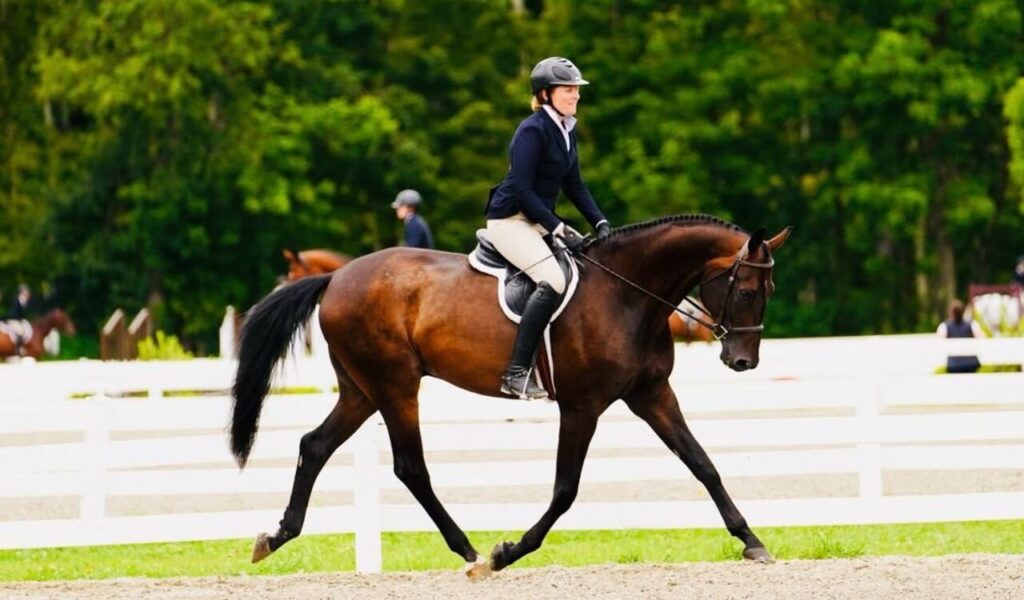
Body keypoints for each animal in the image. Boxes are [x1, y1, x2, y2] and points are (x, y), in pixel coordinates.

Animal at [232, 214, 790, 577]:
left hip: (360, 390)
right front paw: (508, 552)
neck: (629, 294)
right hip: (394, 385)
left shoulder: (652, 394)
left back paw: (276, 536)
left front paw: (752, 542)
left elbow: (703, 465)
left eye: (768, 292)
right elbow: (565, 490)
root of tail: (336, 279)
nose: (743, 361)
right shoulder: (582, 405)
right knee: (410, 468)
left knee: (314, 446)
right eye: (745, 291)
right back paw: (472, 553)